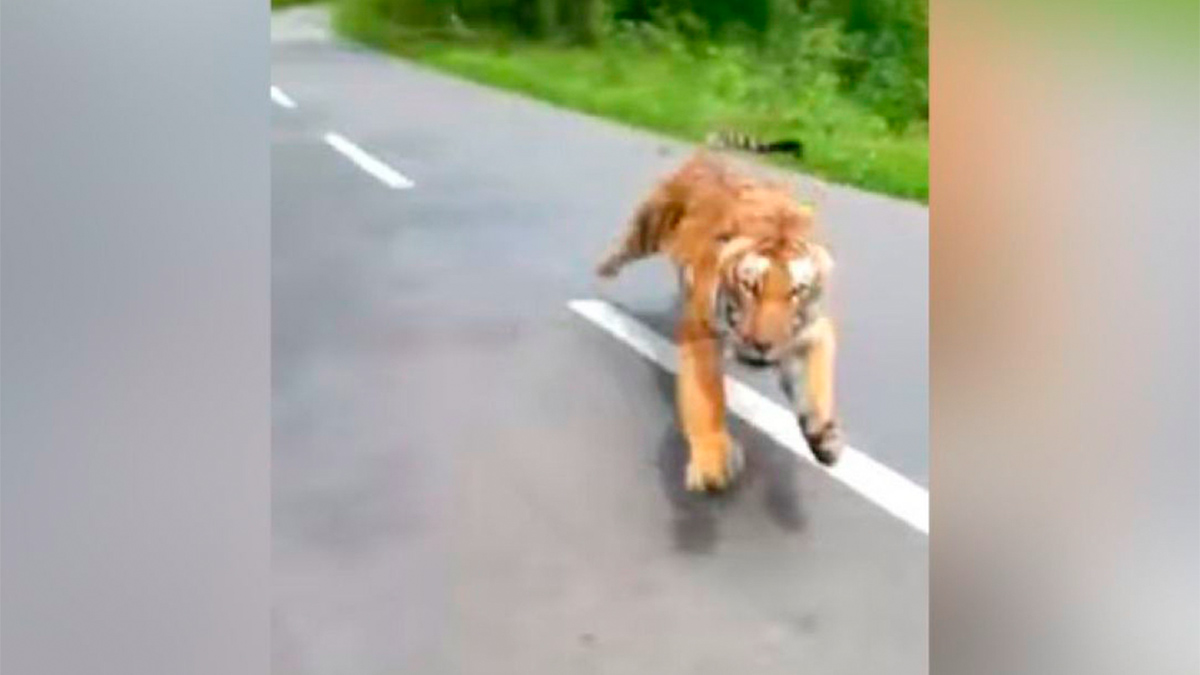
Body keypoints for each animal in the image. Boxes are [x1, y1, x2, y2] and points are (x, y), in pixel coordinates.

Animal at [596, 149, 842, 492]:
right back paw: (602, 270)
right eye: (751, 287)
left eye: (796, 291)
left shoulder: (812, 332)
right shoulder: (701, 333)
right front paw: (713, 463)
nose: (763, 345)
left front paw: (824, 438)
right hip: (649, 225)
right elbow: (707, 399)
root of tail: (712, 153)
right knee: (624, 247)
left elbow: (815, 387)